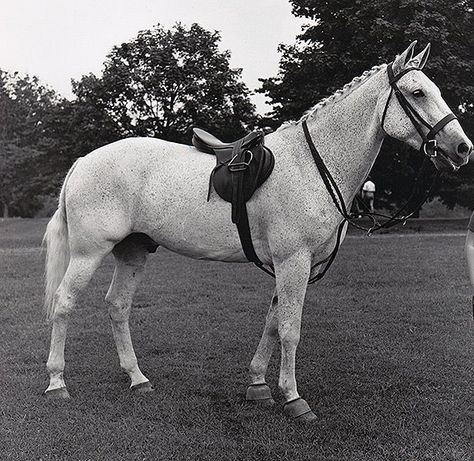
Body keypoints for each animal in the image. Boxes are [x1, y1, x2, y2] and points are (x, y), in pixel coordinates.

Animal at [43, 43, 470, 420]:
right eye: (417, 93)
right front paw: (294, 399)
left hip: (132, 250)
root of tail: (83, 161)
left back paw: (137, 378)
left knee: (118, 306)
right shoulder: (293, 260)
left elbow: (272, 323)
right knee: (64, 303)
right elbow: (290, 330)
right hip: (89, 252)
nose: (462, 148)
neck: (313, 163)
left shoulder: (293, 265)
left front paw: (258, 385)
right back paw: (57, 383)